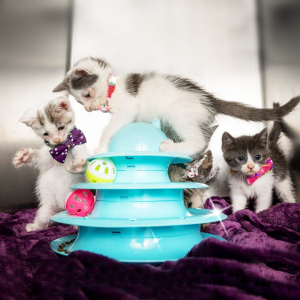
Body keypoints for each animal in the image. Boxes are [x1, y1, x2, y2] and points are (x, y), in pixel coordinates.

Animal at [13, 96, 88, 232]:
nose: (57, 140)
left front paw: (78, 165)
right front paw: (25, 156)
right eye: (46, 133)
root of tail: (61, 208)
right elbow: (41, 158)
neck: (63, 148)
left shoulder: (79, 143)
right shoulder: (48, 156)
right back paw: (34, 226)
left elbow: (82, 156)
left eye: (61, 127)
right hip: (47, 208)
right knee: (44, 218)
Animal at [52, 57, 298, 158]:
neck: (114, 87)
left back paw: (171, 147)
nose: (89, 109)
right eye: (80, 102)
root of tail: (209, 99)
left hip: (178, 113)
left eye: (87, 94)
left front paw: (101, 147)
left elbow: (112, 128)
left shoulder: (128, 106)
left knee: (198, 141)